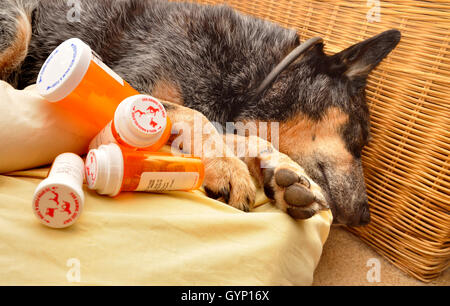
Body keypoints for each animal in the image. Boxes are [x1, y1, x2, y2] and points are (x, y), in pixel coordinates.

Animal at [0, 0, 400, 225]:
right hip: (17, 26)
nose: (364, 217)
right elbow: (195, 115)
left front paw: (284, 174)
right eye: (360, 138)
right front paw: (229, 169)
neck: (249, 71)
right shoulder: (127, 85)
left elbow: (247, 138)